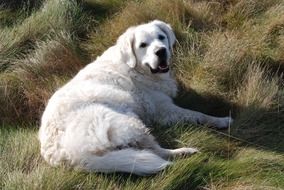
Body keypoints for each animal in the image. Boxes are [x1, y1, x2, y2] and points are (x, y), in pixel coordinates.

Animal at [38, 20, 232, 175]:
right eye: (143, 45)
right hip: (128, 121)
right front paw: (221, 120)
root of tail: (71, 157)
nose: (161, 51)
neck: (137, 69)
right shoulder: (164, 109)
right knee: (157, 151)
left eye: (161, 37)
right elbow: (198, 114)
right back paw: (184, 152)